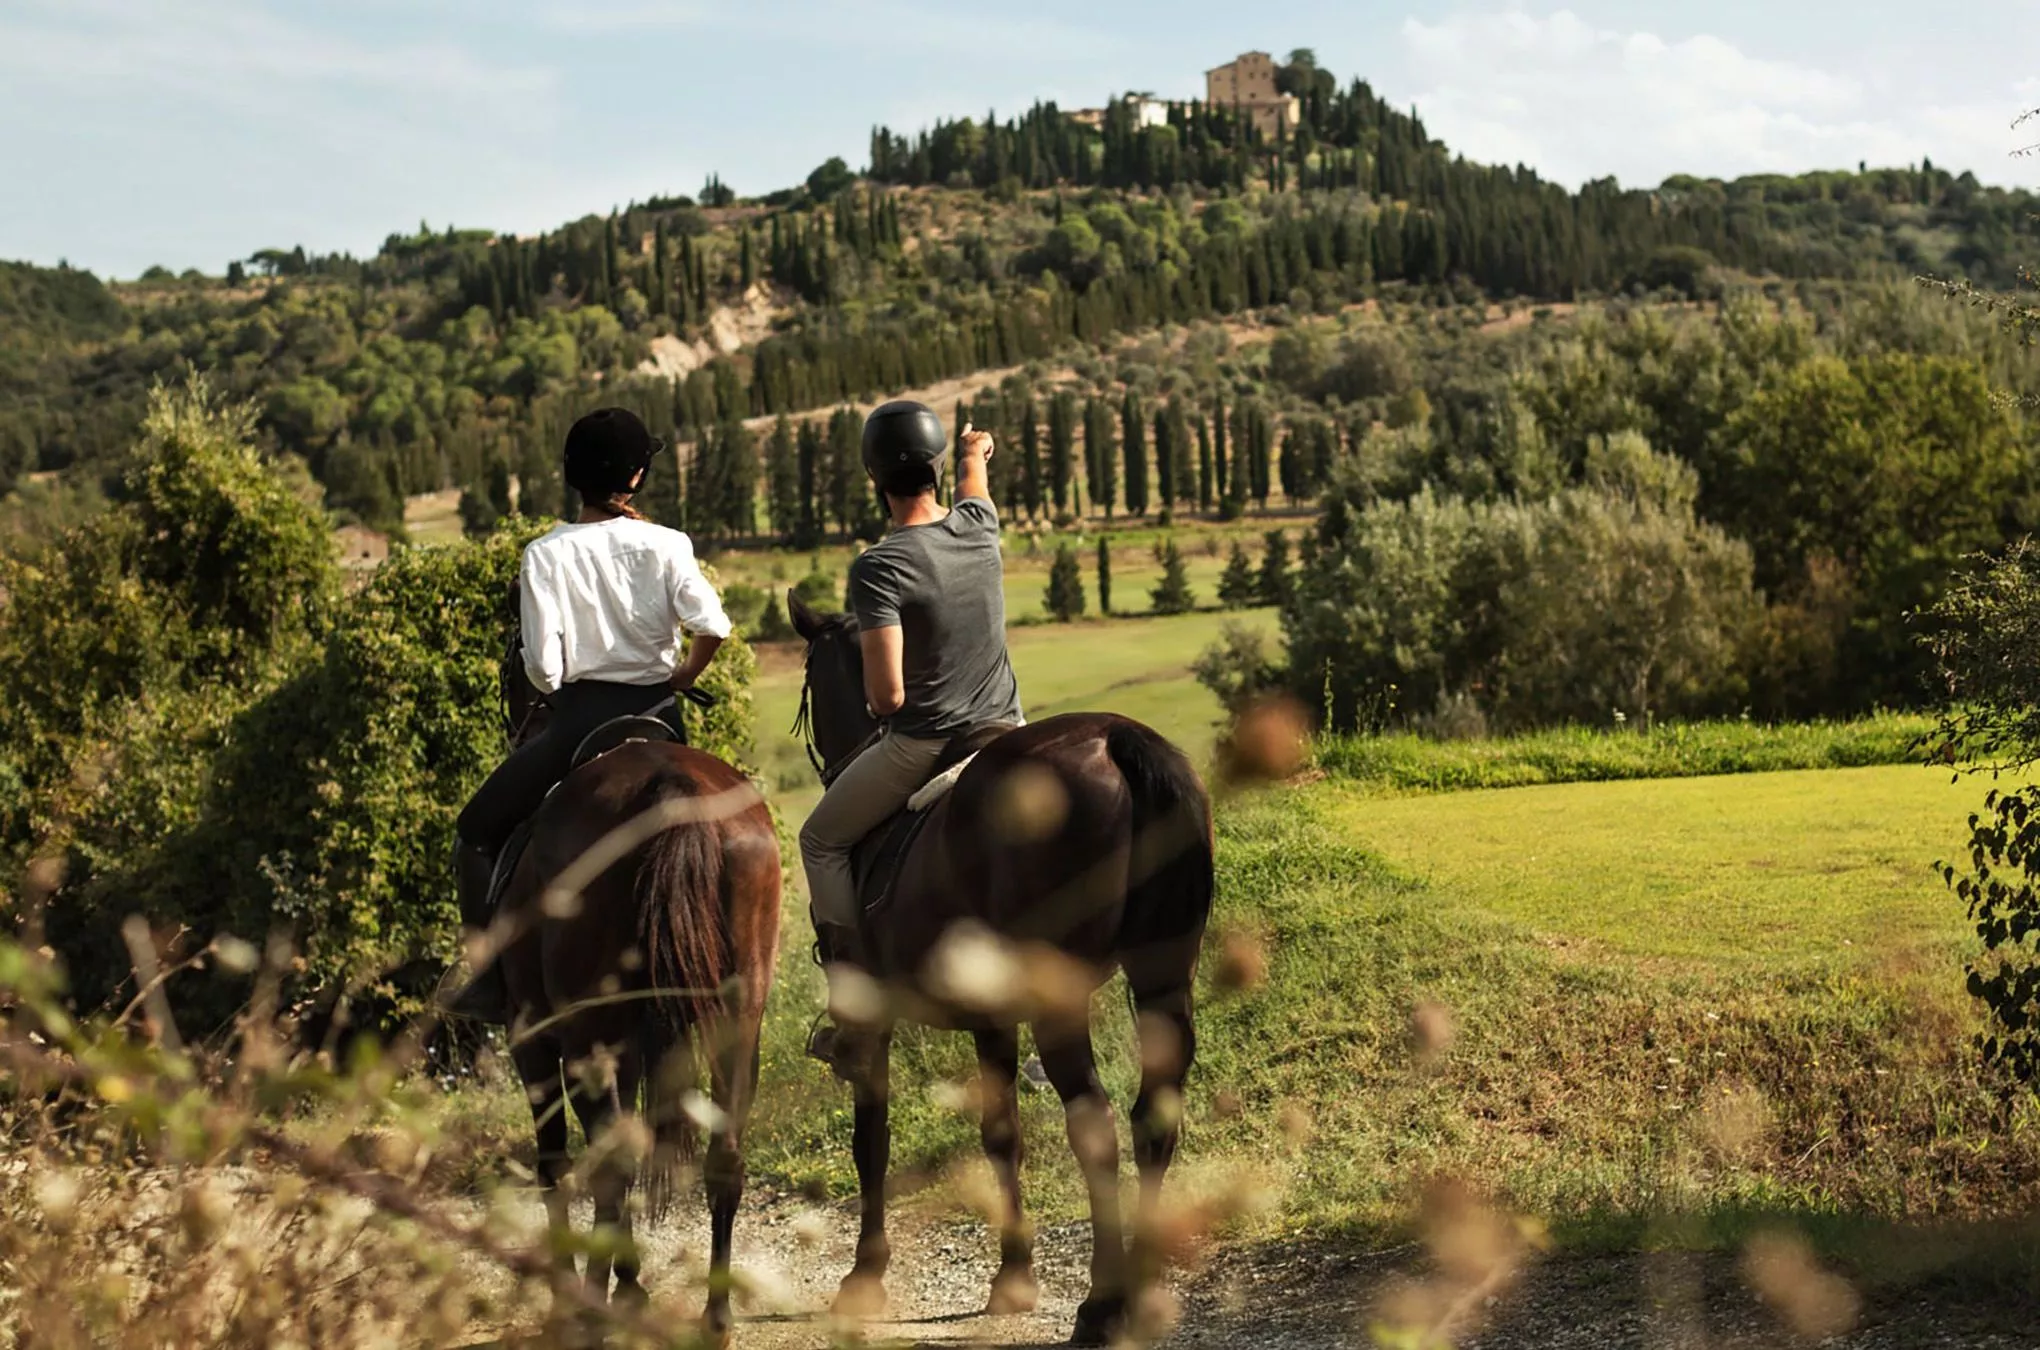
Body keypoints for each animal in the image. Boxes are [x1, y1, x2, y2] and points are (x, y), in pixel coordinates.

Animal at [489, 640, 783, 1337]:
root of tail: (667, 790)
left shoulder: (534, 1036)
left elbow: (555, 1160)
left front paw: (589, 1286)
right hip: (738, 1020)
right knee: (724, 1155)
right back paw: (714, 1314)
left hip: (584, 1034)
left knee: (611, 1161)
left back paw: (595, 1304)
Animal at [787, 599, 1207, 1350]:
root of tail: (1118, 740)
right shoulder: (991, 1018)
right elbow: (1001, 1134)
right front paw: (1013, 1275)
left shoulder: (873, 1017)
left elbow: (872, 1139)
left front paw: (865, 1275)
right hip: (1163, 976)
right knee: (1151, 1117)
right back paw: (1142, 1289)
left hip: (1061, 998)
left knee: (1095, 1124)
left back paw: (1103, 1306)